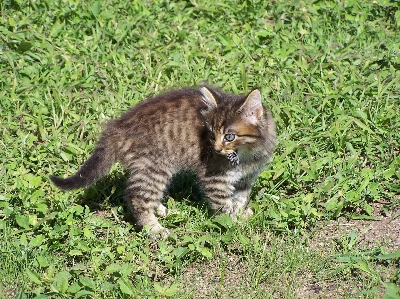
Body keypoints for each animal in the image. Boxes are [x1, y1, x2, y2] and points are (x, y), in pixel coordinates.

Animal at [49, 86, 276, 237]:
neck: (247, 155)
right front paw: (232, 223)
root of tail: (116, 127)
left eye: (229, 136)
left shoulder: (247, 177)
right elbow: (223, 205)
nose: (216, 149)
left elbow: (240, 198)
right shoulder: (215, 178)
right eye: (212, 135)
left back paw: (165, 210)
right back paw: (154, 229)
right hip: (155, 166)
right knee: (136, 196)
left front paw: (241, 215)